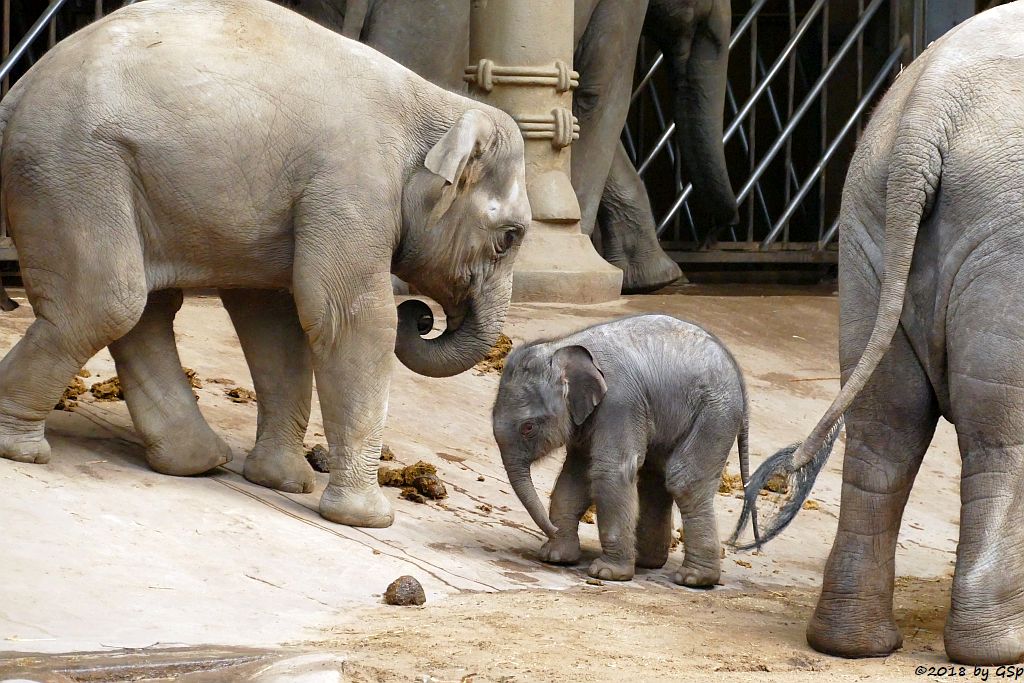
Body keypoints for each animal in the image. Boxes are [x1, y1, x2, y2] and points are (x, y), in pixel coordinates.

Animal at [493, 315, 753, 589]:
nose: (551, 529)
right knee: (655, 480)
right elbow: (576, 476)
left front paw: (606, 573)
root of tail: (737, 373)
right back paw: (646, 562)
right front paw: (555, 556)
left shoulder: (619, 403)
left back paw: (693, 579)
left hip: (714, 416)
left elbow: (610, 471)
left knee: (684, 481)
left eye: (528, 427)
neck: (562, 346)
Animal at [733, 3, 1024, 667]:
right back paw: (998, 650)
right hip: (1001, 243)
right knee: (998, 434)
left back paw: (851, 643)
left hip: (870, 221)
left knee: (883, 427)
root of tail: (931, 110)